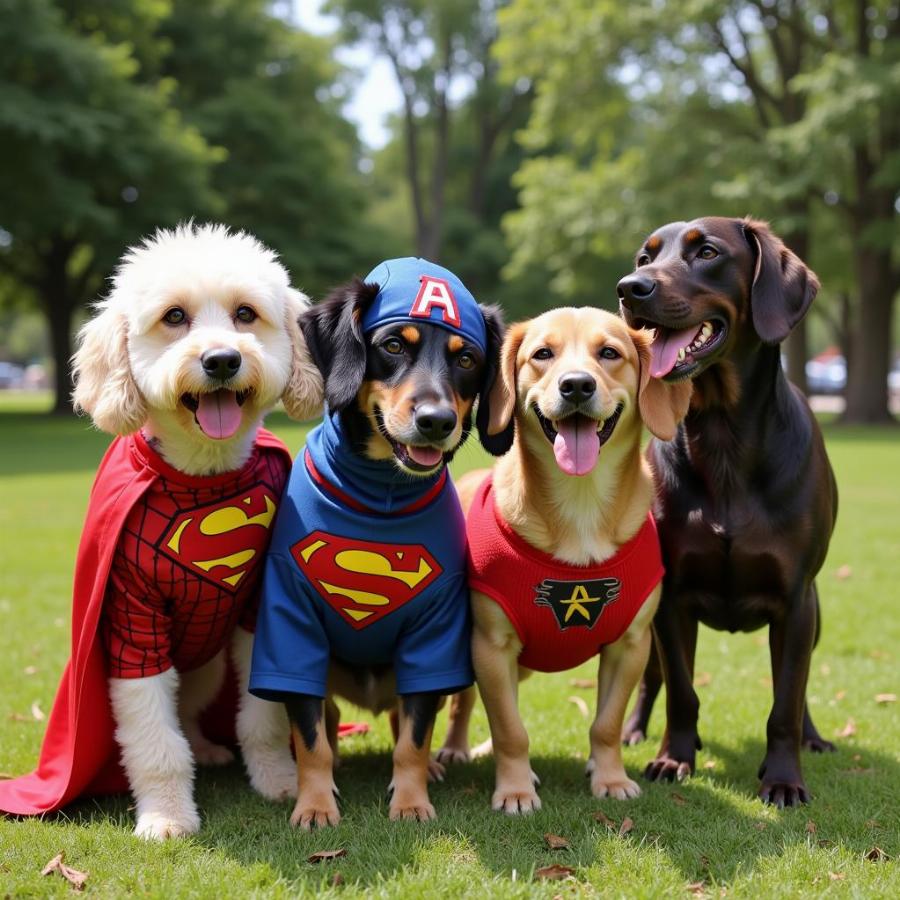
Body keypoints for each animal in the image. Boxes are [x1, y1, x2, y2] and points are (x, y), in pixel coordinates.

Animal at [442, 306, 688, 812]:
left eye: (609, 353)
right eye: (542, 354)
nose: (576, 385)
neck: (581, 501)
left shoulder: (630, 645)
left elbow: (607, 723)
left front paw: (609, 778)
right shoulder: (490, 647)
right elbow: (510, 728)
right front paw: (515, 788)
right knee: (464, 704)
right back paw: (457, 749)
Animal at [620, 214, 836, 804]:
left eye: (708, 252)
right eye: (645, 257)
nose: (629, 288)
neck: (722, 441)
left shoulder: (796, 599)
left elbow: (786, 700)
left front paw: (783, 778)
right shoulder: (671, 597)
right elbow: (681, 690)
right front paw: (674, 757)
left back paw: (813, 738)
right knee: (652, 676)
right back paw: (634, 730)